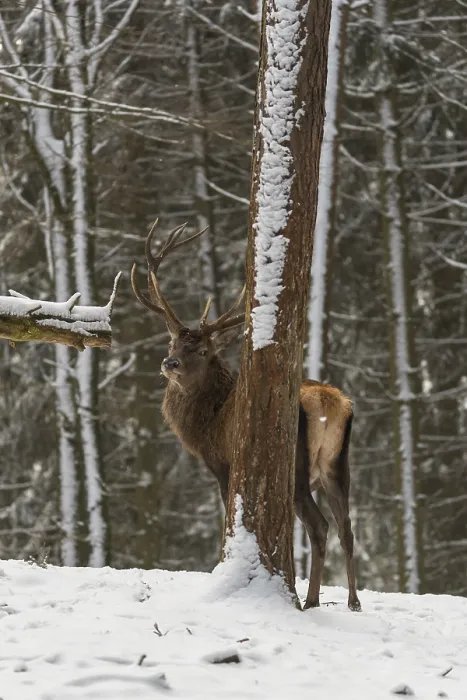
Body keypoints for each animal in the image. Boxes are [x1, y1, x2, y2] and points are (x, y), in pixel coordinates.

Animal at [131, 221, 361, 612]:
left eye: (203, 350)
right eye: (172, 343)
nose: (169, 363)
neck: (206, 424)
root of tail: (328, 403)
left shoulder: (223, 465)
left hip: (296, 468)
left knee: (320, 527)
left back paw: (311, 600)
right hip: (337, 465)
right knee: (346, 527)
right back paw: (354, 602)